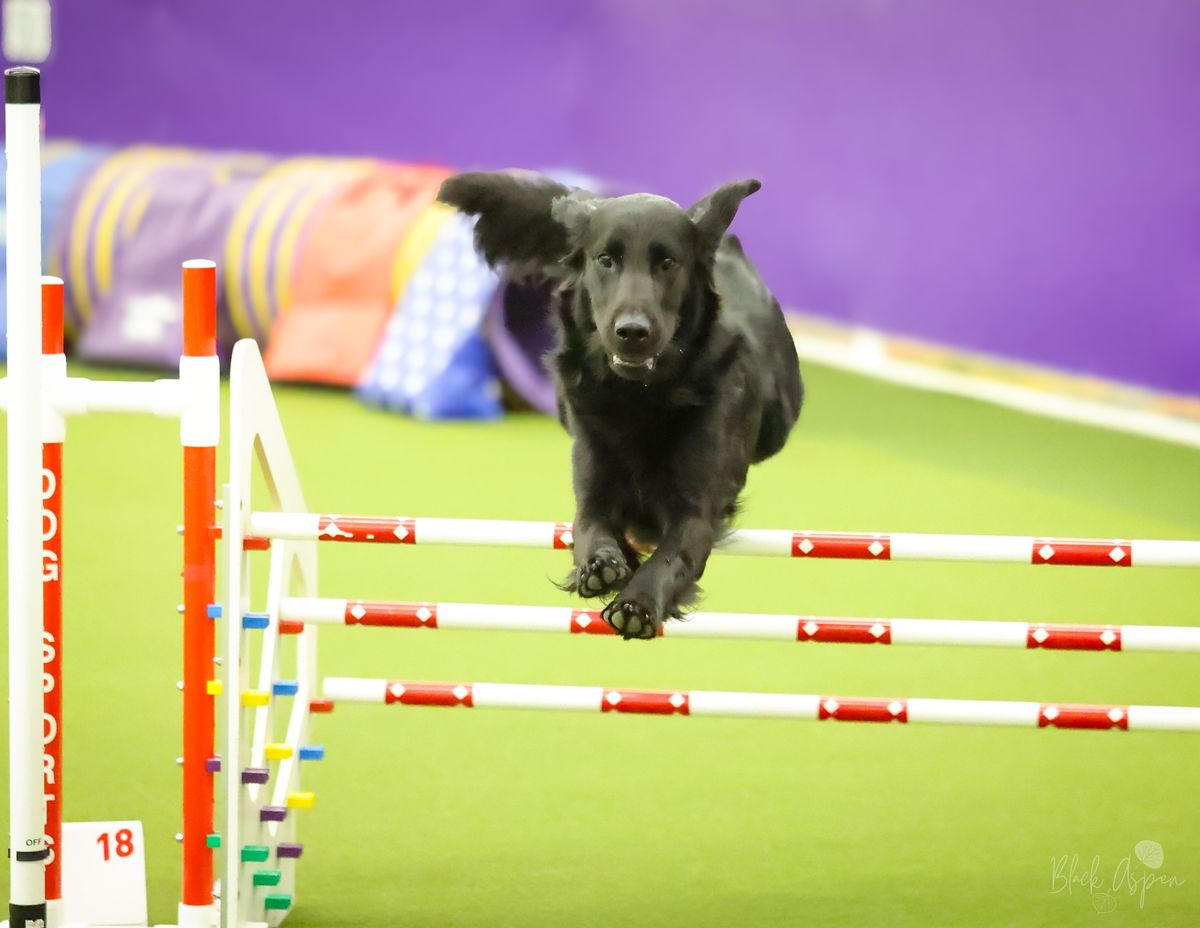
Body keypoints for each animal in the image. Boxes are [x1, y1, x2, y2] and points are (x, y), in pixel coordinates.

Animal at [436, 171, 801, 638]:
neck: (640, 394)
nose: (632, 331)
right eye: (605, 259)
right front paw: (602, 565)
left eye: (668, 263)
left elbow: (672, 555)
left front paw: (637, 604)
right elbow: (589, 528)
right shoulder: (593, 485)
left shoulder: (697, 509)